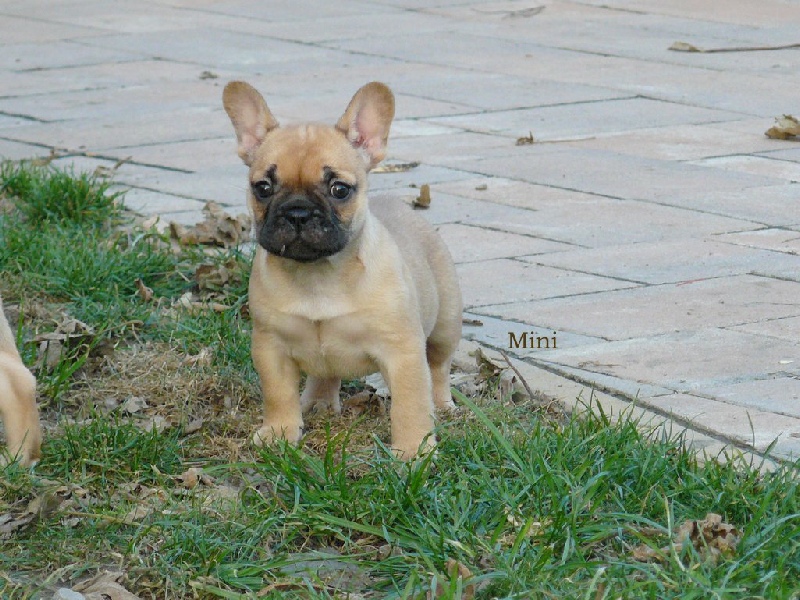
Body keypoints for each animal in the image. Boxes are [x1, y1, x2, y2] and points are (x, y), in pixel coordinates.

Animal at [223, 81, 462, 458]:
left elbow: (410, 404)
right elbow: (277, 393)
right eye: (262, 188)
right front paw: (279, 431)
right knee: (325, 373)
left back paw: (442, 404)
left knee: (438, 366)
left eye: (339, 189)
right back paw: (317, 404)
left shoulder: (403, 352)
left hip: (445, 324)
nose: (297, 212)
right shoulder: (270, 347)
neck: (319, 275)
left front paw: (413, 450)